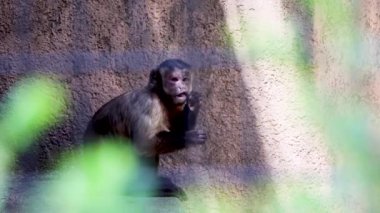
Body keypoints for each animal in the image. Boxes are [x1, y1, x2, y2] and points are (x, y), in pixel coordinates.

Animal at [84, 58, 208, 200]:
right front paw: (189, 138)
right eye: (174, 79)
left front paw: (193, 104)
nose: (181, 87)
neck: (160, 96)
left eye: (185, 79)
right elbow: (144, 143)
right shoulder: (148, 104)